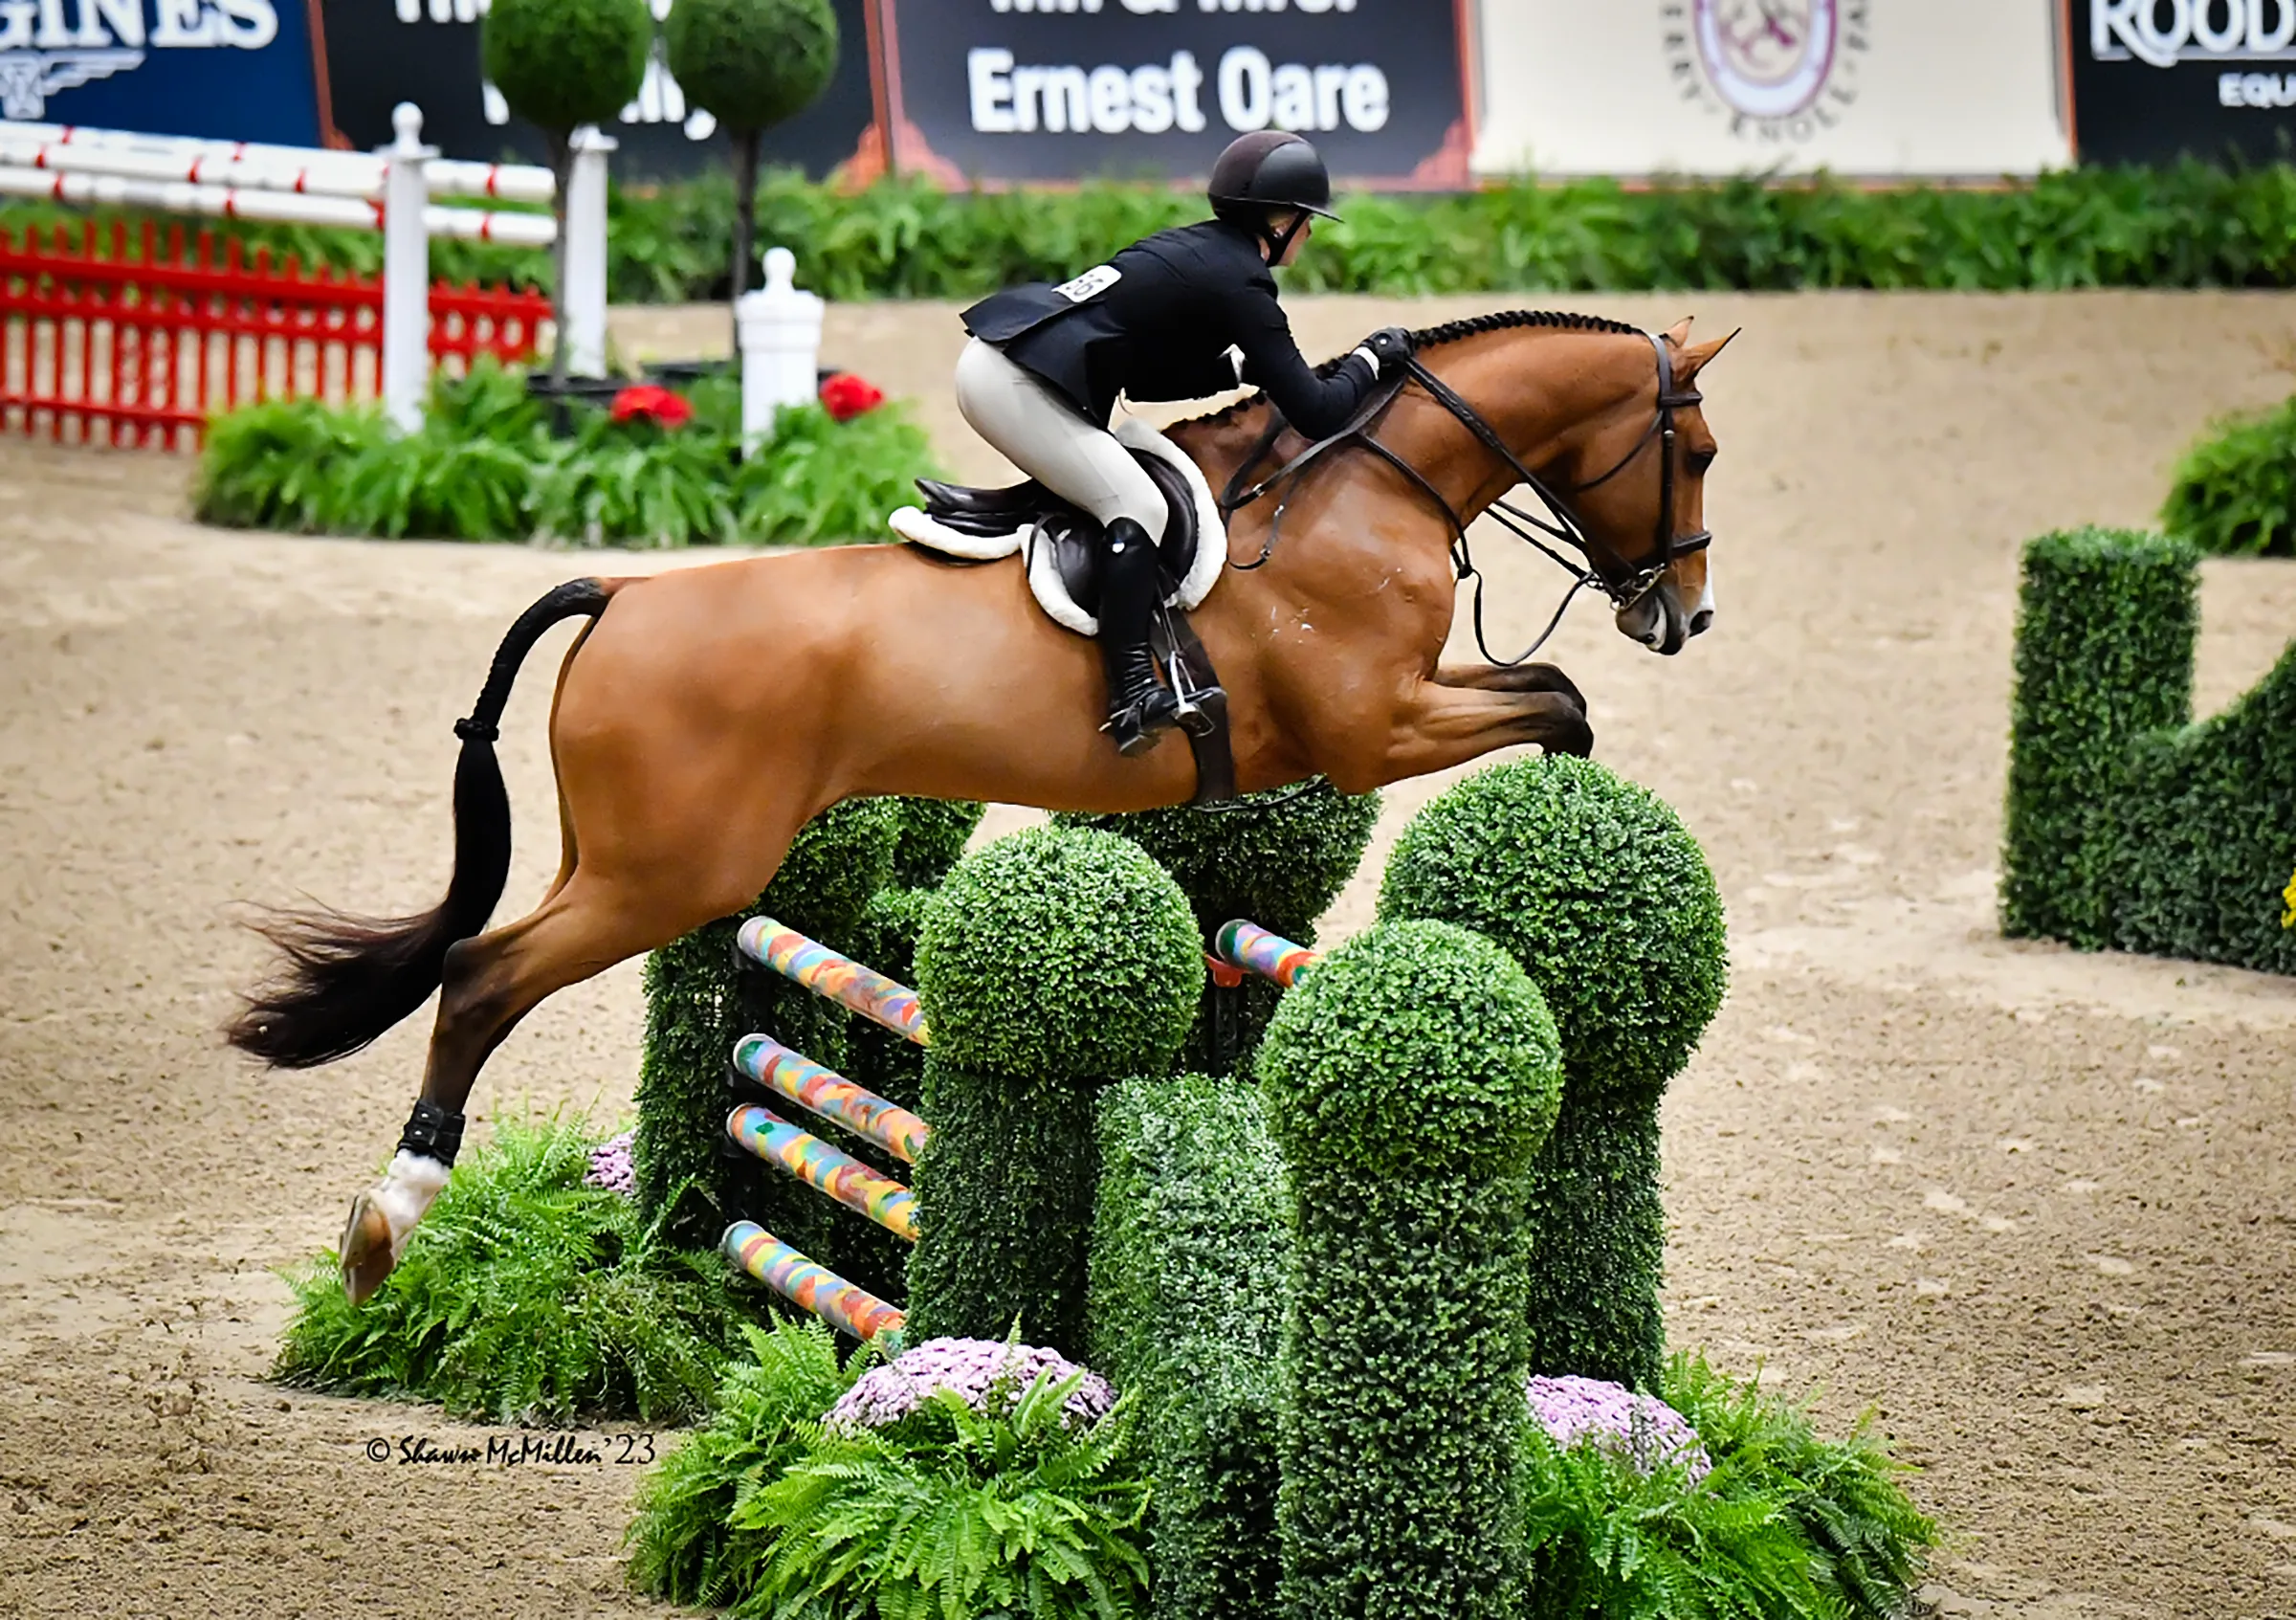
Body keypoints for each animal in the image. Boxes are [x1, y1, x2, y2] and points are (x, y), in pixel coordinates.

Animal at [227, 309, 1735, 1303]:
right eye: (1701, 449)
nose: (1683, 614)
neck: (1363, 488)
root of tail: (625, 594)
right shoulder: (1376, 728)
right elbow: (1557, 701)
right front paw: (1565, 820)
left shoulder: (1396, 713)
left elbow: (1550, 691)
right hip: (667, 872)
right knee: (483, 977)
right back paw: (387, 1222)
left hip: (624, 858)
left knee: (491, 958)